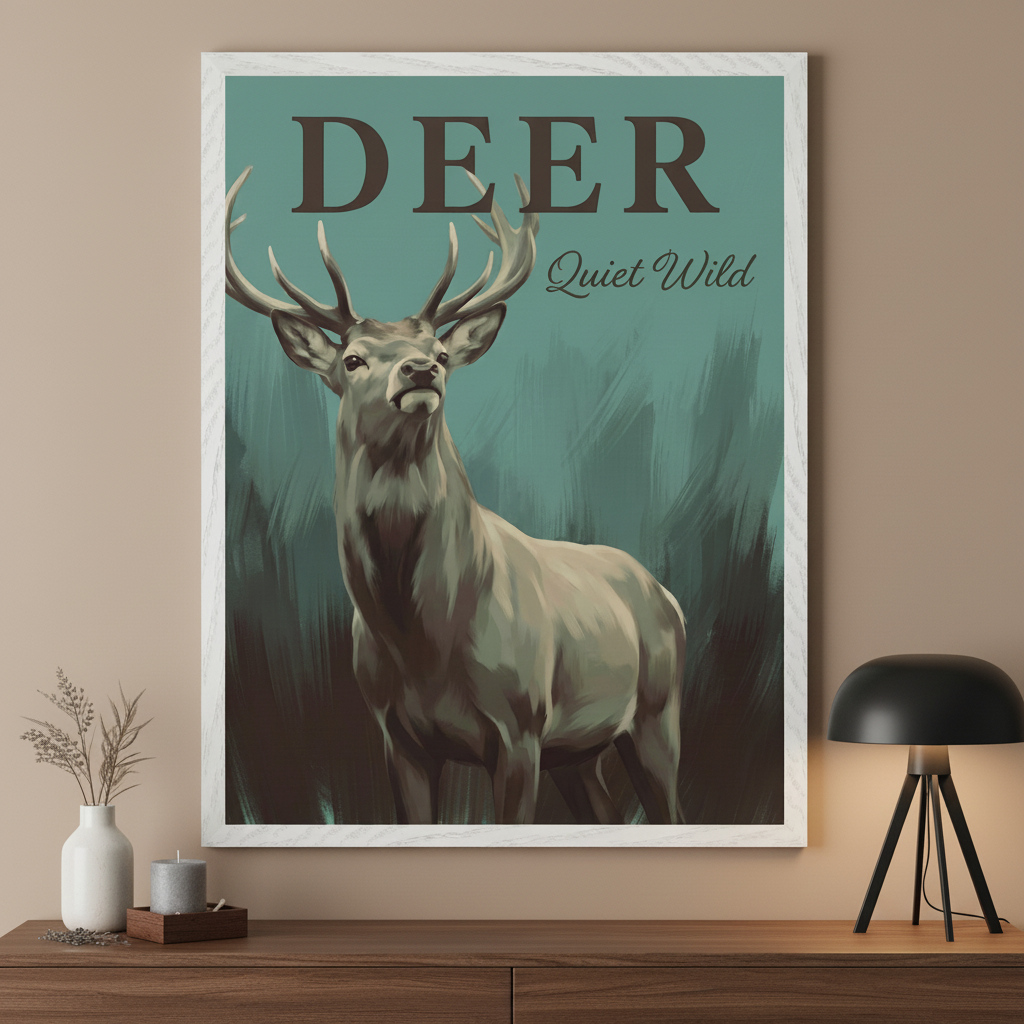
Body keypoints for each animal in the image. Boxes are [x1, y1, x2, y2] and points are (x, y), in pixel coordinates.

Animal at [224, 166, 687, 826]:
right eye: (353, 359)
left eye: (443, 353)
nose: (420, 370)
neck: (424, 642)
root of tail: (667, 594)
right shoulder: (398, 735)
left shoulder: (521, 725)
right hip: (578, 751)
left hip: (656, 712)